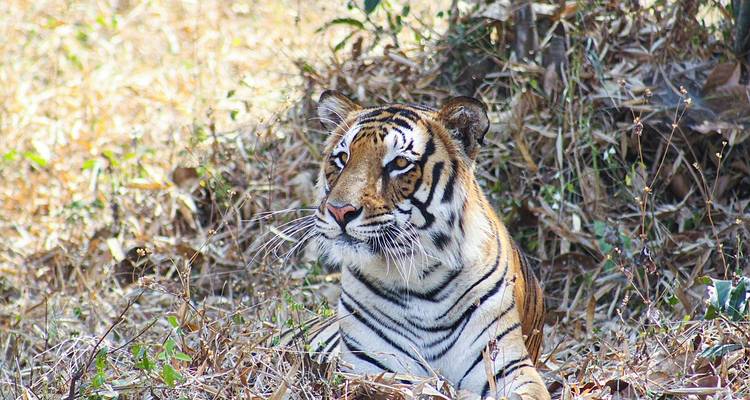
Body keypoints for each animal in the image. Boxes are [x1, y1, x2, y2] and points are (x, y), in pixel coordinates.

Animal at [298, 90, 550, 399]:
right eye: (343, 158)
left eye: (399, 163)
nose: (339, 211)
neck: (421, 280)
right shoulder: (369, 368)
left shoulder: (508, 366)